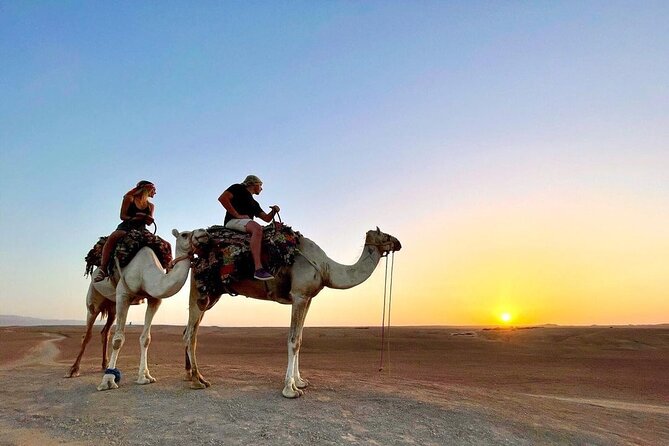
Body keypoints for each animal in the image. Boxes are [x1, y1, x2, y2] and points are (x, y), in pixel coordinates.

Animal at [65, 228, 207, 388]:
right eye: (184, 234)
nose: (203, 233)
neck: (145, 273)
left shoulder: (154, 300)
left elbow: (146, 338)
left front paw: (145, 377)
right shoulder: (123, 294)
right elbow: (118, 339)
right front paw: (108, 381)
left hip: (112, 305)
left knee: (105, 332)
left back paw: (104, 364)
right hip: (94, 298)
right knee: (88, 333)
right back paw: (74, 370)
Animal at [183, 228, 400, 398]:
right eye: (385, 234)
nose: (398, 243)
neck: (326, 267)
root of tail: (196, 260)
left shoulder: (307, 298)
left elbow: (300, 340)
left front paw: (301, 381)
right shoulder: (299, 295)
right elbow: (293, 341)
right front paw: (290, 389)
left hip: (211, 296)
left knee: (189, 331)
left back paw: (191, 375)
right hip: (200, 292)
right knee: (191, 335)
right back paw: (198, 381)